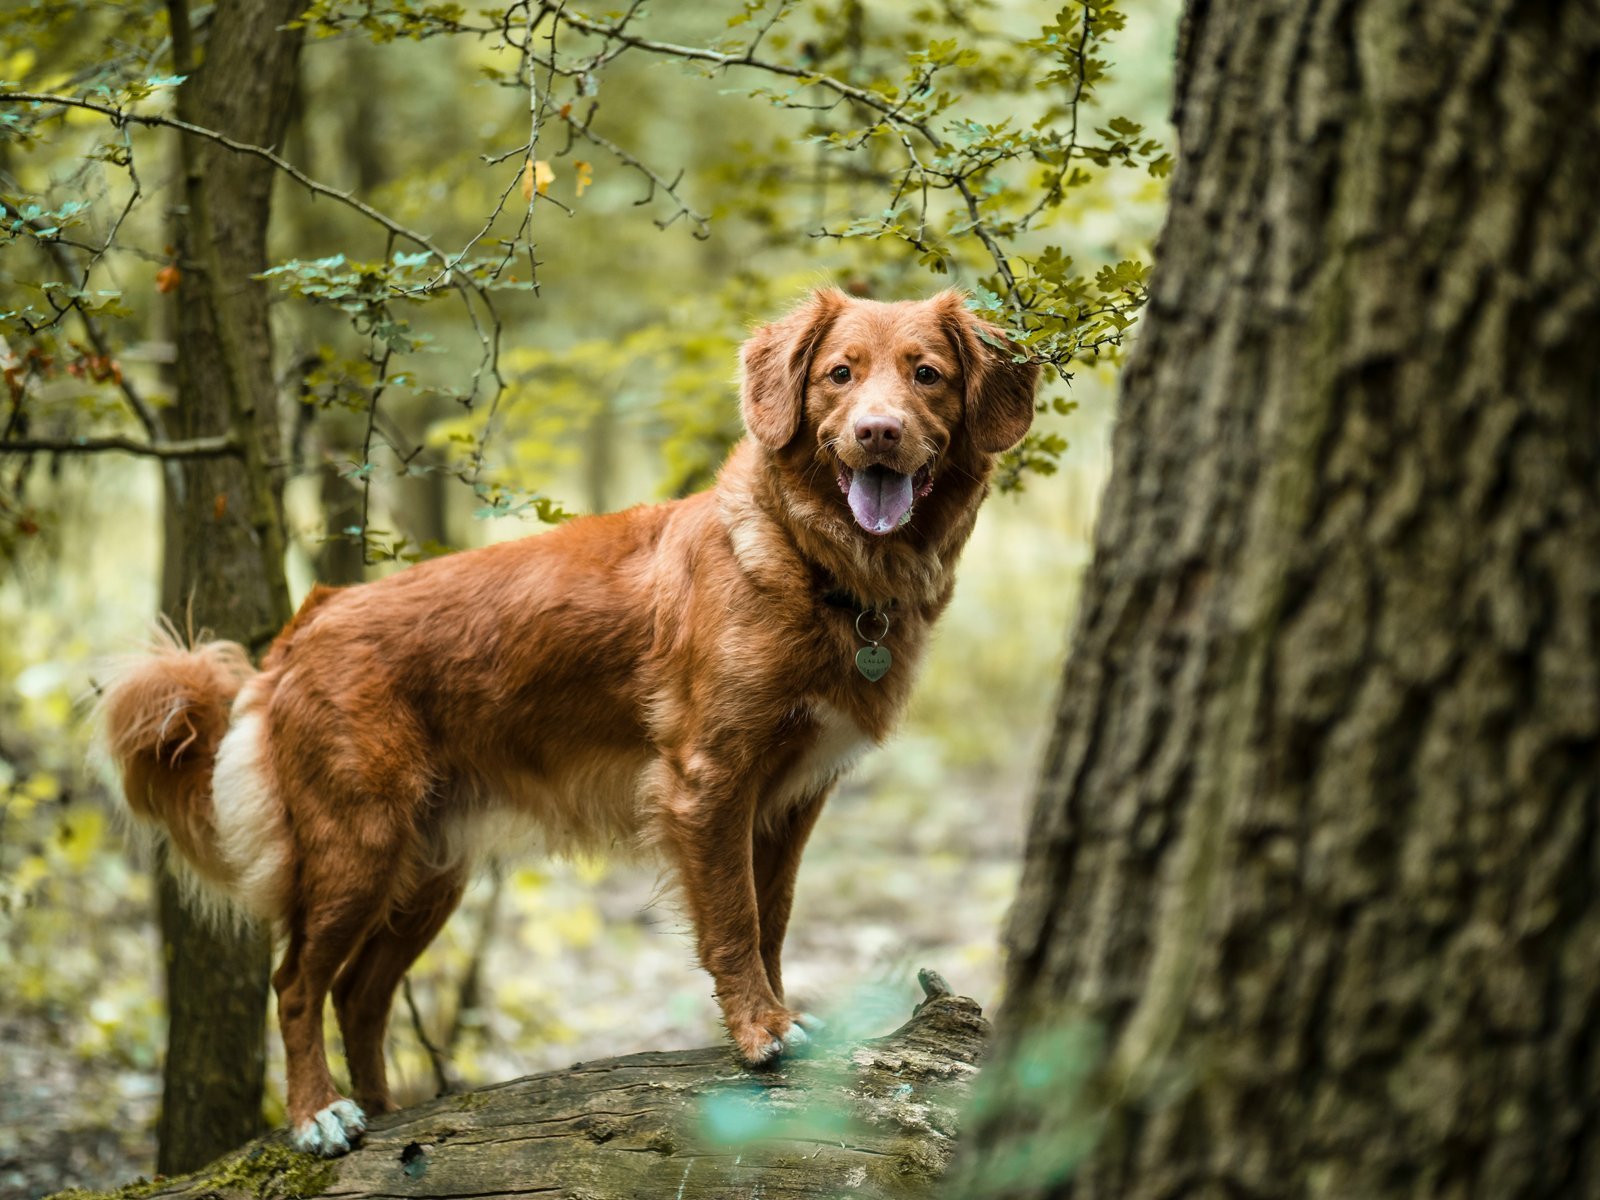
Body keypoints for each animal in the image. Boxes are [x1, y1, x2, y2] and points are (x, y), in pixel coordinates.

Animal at [100, 286, 1036, 1158]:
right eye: (840, 374)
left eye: (927, 375)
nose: (878, 432)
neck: (813, 563)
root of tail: (307, 622)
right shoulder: (708, 785)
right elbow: (735, 922)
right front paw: (759, 1033)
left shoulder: (790, 802)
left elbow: (771, 919)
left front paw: (772, 1014)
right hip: (356, 844)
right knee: (297, 983)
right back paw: (318, 1115)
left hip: (427, 871)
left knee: (357, 995)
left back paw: (389, 1111)